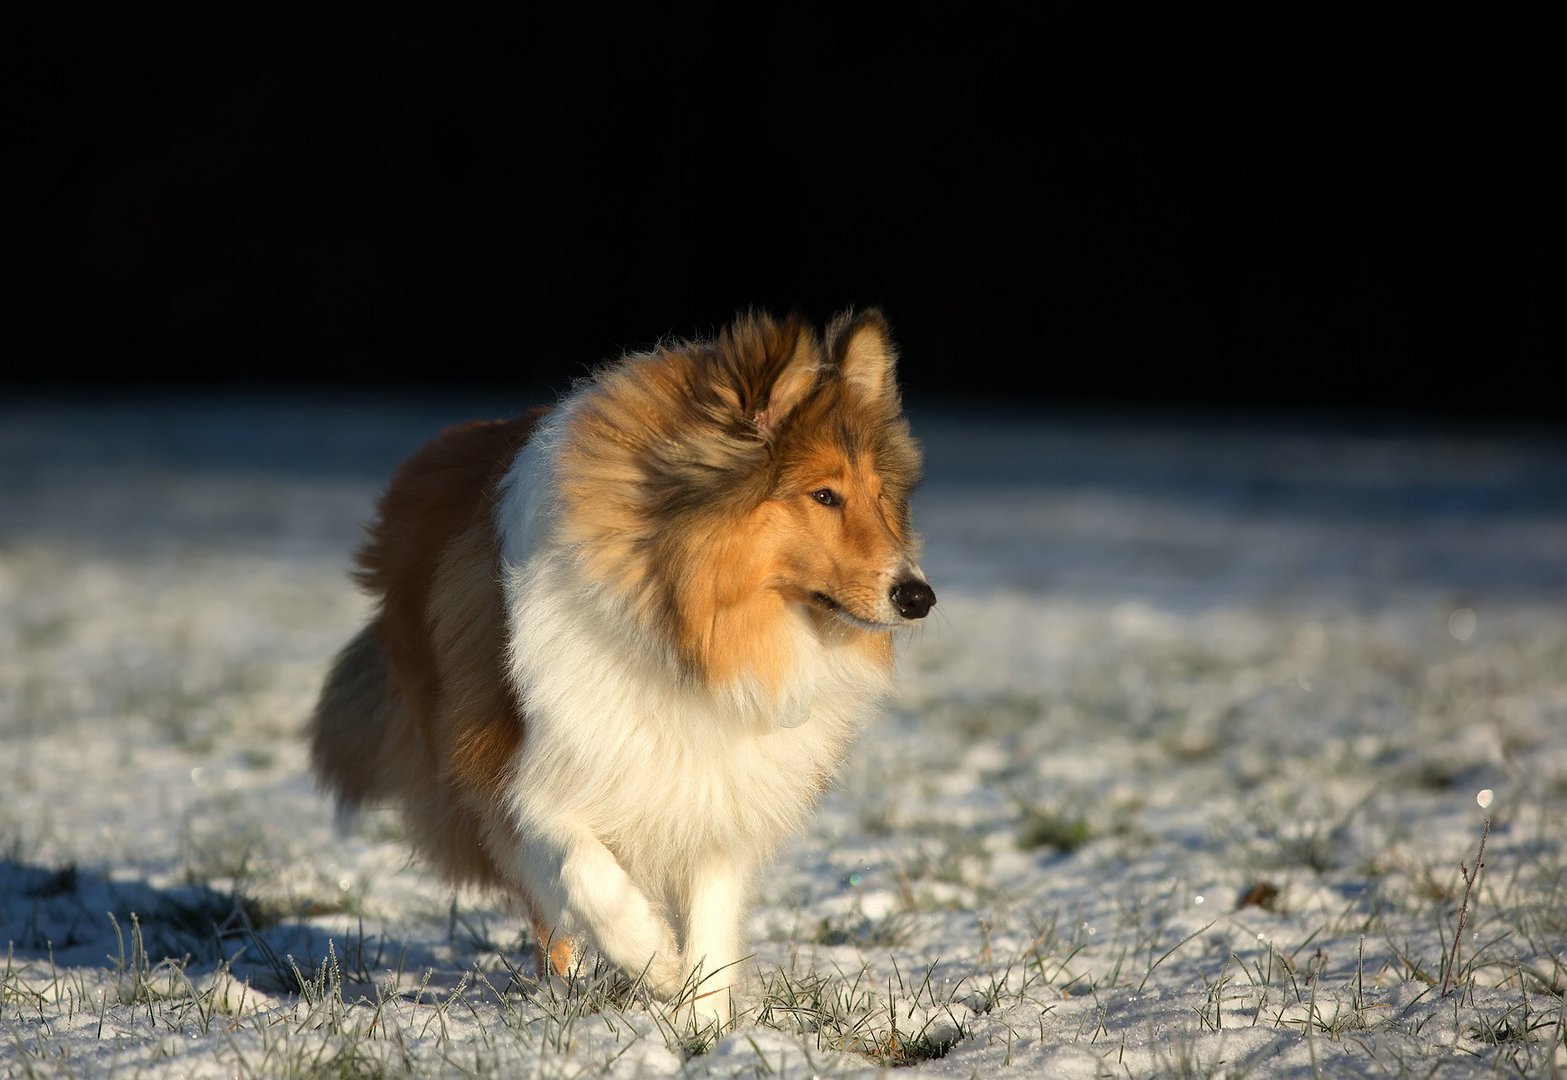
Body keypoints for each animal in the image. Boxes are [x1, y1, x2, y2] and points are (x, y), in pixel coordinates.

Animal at [311, 307, 933, 1022]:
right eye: (825, 495)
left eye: (881, 495)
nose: (919, 597)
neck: (687, 629)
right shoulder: (519, 768)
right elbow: (584, 871)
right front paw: (654, 961)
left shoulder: (720, 789)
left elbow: (712, 918)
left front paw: (705, 1022)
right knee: (546, 908)